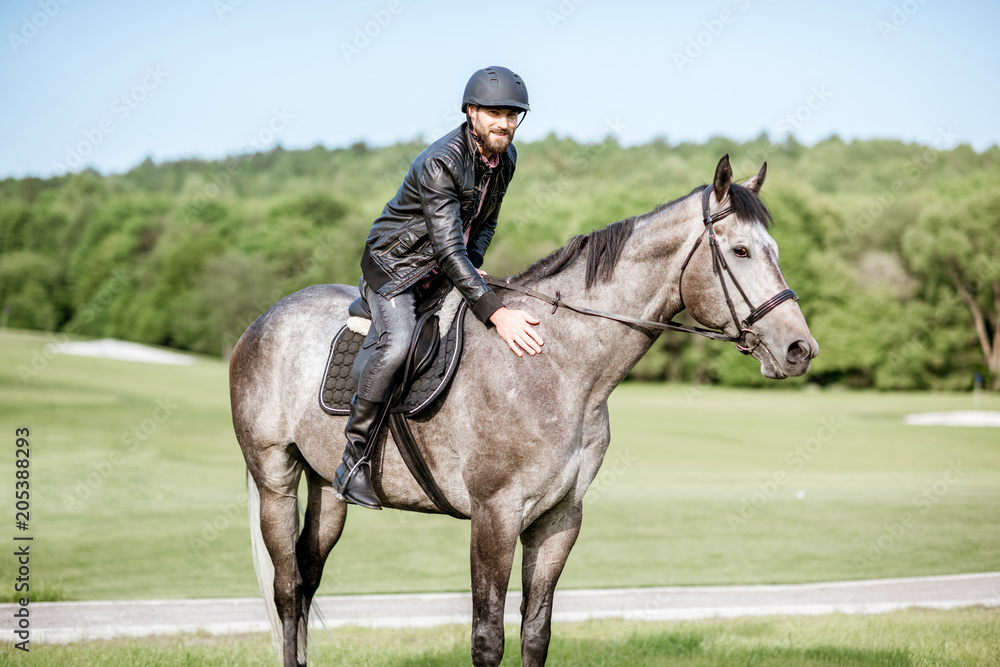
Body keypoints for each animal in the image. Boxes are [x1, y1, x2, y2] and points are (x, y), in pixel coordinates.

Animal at [230, 154, 816, 664]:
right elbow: (487, 637)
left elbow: (536, 632)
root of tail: (264, 321)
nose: (799, 349)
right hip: (275, 478)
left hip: (327, 488)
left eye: (773, 249)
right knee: (288, 589)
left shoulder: (558, 519)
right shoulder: (495, 515)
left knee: (307, 580)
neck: (556, 361)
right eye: (740, 251)